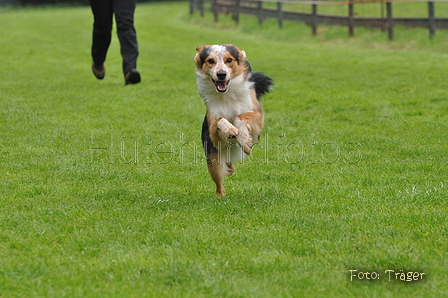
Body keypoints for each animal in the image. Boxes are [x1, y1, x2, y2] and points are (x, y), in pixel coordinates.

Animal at [195, 43, 274, 196]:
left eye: (229, 60)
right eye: (210, 61)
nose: (221, 74)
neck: (227, 93)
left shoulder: (257, 114)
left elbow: (239, 117)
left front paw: (245, 141)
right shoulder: (212, 128)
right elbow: (220, 119)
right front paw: (230, 130)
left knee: (230, 169)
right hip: (214, 160)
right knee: (220, 181)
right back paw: (221, 196)